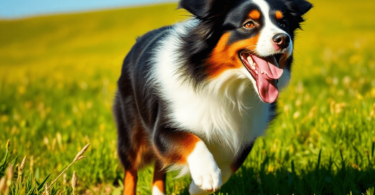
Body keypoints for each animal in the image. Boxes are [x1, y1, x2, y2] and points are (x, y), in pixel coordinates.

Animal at [114, 0, 312, 193]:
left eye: (283, 23)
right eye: (249, 24)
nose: (283, 39)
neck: (226, 86)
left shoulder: (245, 134)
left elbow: (231, 165)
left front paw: (198, 187)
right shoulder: (162, 129)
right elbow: (191, 139)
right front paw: (207, 174)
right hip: (132, 136)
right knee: (131, 171)